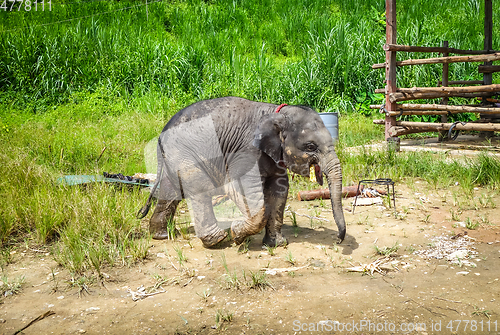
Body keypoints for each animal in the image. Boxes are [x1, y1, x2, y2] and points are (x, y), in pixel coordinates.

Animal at [139, 96, 346, 248]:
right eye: (310, 146)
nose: (338, 240)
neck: (276, 113)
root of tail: (162, 133)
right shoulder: (246, 152)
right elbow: (237, 187)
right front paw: (236, 234)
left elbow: (279, 190)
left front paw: (276, 244)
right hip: (184, 151)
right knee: (198, 185)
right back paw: (217, 240)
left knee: (172, 190)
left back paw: (161, 235)